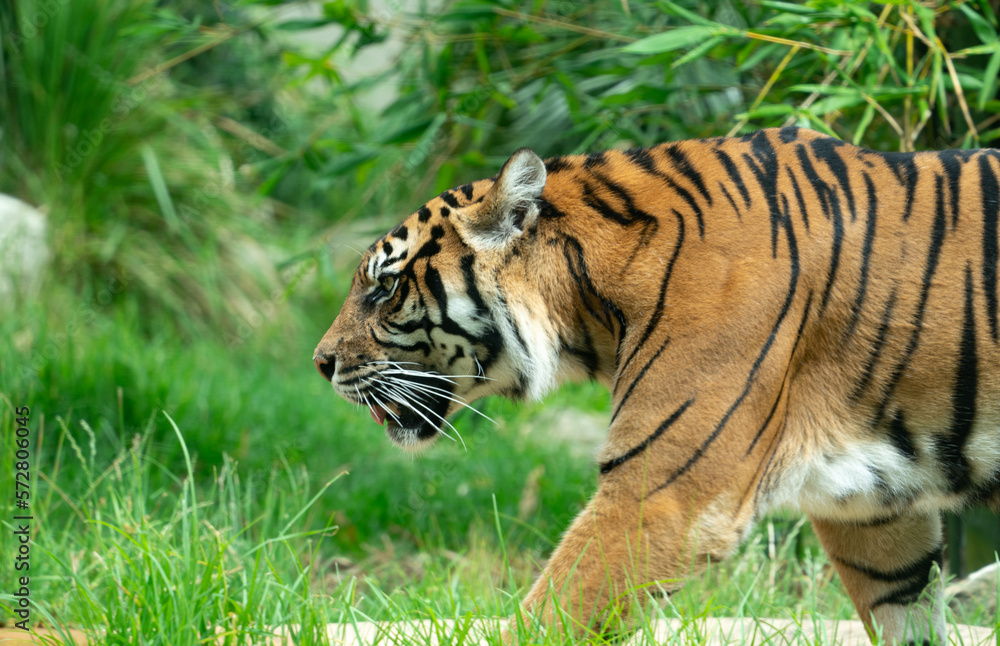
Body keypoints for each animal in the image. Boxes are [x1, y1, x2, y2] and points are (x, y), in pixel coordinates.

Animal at [313, 126, 1000, 644]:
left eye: (384, 287)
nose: (320, 363)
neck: (592, 302)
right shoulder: (874, 507)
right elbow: (907, 610)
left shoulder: (663, 492)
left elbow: (551, 613)